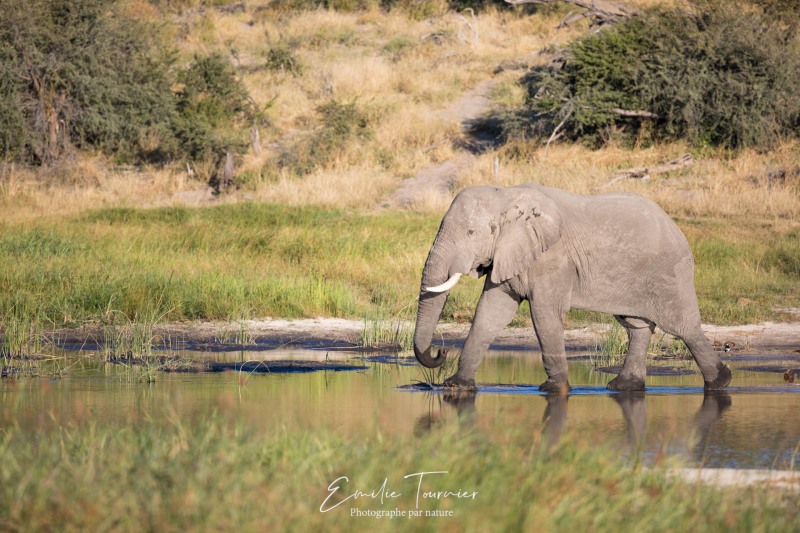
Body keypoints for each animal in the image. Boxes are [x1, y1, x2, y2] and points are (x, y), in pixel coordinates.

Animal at [416, 185, 736, 392]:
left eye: (471, 233)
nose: (440, 351)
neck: (505, 195)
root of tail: (675, 225)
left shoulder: (553, 259)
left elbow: (544, 314)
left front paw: (553, 389)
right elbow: (491, 312)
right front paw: (457, 386)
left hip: (669, 272)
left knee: (682, 326)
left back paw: (720, 382)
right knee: (637, 327)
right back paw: (624, 387)